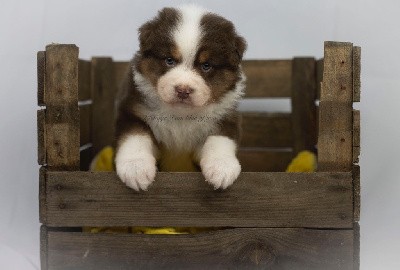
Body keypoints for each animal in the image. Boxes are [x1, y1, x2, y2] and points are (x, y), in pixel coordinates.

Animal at [115, 4, 247, 190]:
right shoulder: (132, 111)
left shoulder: (226, 117)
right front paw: (135, 168)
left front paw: (222, 168)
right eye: (169, 60)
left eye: (206, 65)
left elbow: (219, 140)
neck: (181, 115)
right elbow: (136, 136)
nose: (183, 90)